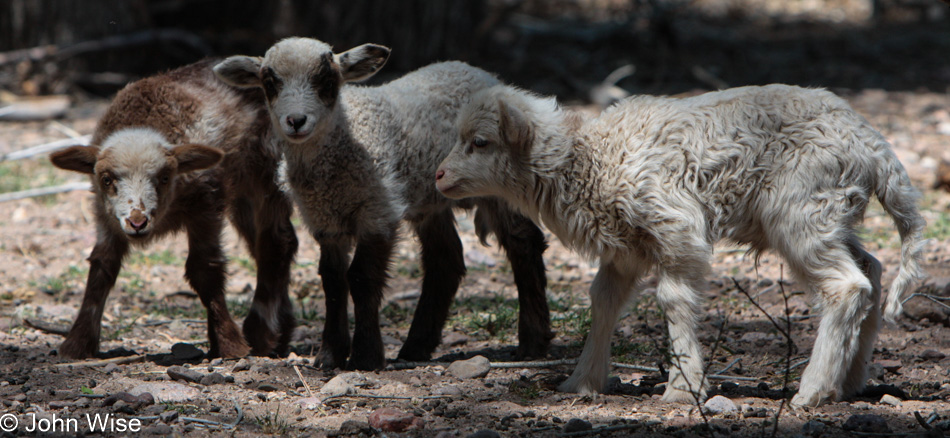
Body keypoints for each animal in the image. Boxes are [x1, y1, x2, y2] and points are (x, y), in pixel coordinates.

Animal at [216, 37, 556, 370]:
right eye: (269, 82)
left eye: (327, 80)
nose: (296, 121)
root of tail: (480, 72)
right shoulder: (324, 219)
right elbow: (333, 280)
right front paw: (330, 356)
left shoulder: (377, 209)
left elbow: (361, 277)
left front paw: (365, 356)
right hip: (429, 199)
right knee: (444, 260)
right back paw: (416, 346)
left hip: (499, 185)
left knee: (523, 244)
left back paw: (532, 342)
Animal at [438, 83, 928, 408]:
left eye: (480, 142)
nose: (439, 176)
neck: (589, 157)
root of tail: (872, 144)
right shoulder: (625, 249)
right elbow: (604, 302)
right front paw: (582, 381)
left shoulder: (675, 226)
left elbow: (674, 299)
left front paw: (682, 386)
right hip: (834, 212)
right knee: (872, 270)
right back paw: (850, 381)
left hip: (801, 209)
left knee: (846, 286)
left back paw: (812, 390)